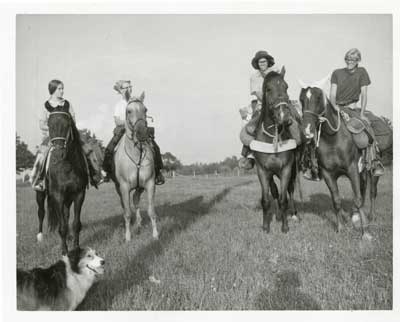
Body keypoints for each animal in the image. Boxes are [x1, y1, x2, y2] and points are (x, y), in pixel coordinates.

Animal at [39, 110, 88, 254]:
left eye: (67, 124)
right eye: (49, 125)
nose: (58, 154)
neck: (67, 166)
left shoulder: (79, 194)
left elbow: (75, 223)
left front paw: (76, 247)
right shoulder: (58, 196)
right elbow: (62, 227)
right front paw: (64, 251)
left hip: (68, 199)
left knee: (66, 216)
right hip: (42, 194)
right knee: (41, 212)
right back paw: (40, 237)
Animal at [111, 92, 159, 240]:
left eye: (145, 110)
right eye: (128, 111)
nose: (143, 132)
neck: (136, 153)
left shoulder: (149, 184)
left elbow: (151, 211)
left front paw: (156, 234)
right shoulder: (124, 186)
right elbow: (127, 212)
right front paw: (128, 237)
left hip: (139, 187)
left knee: (136, 201)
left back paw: (138, 224)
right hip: (119, 188)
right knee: (126, 205)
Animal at [255, 67, 298, 234]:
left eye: (286, 87)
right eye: (268, 88)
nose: (284, 116)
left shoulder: (286, 169)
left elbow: (283, 199)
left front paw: (285, 227)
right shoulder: (262, 171)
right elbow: (266, 200)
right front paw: (265, 226)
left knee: (290, 190)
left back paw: (294, 215)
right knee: (274, 192)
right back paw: (279, 216)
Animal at [300, 86, 372, 239]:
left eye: (318, 99)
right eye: (301, 99)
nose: (307, 130)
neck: (333, 139)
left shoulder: (352, 170)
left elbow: (358, 198)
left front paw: (366, 232)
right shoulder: (328, 174)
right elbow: (336, 201)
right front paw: (340, 227)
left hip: (365, 172)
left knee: (364, 193)